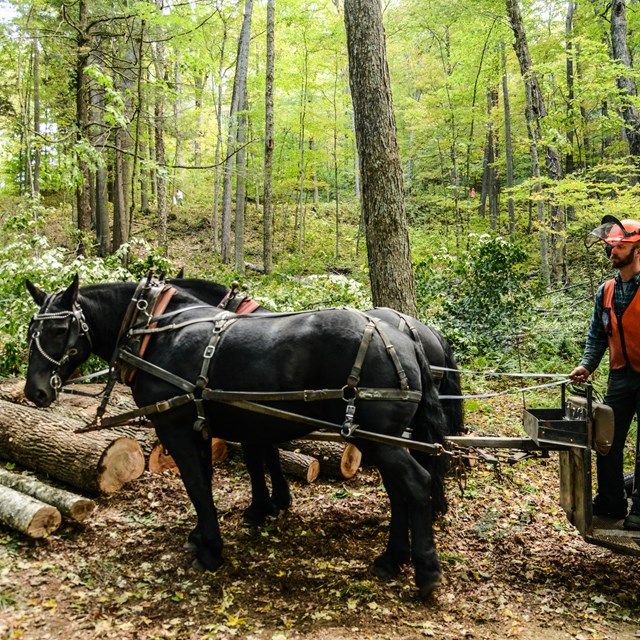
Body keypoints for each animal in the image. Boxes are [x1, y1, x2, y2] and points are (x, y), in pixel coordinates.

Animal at [168, 276, 462, 524]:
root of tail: (426, 335)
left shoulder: (251, 418)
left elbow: (257, 459)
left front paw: (261, 508)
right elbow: (270, 454)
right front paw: (279, 500)